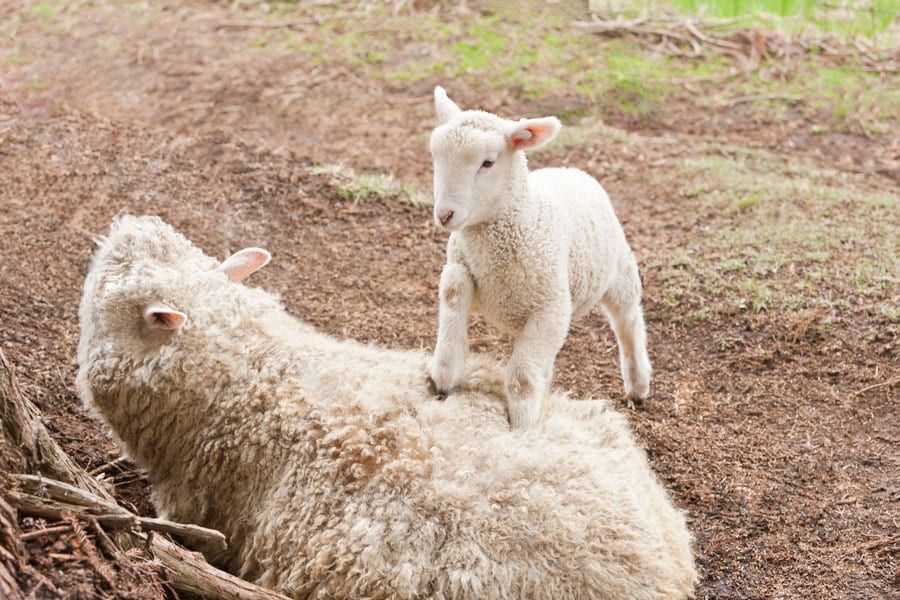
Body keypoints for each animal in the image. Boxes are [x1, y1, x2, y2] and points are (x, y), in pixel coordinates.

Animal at [426, 86, 652, 428]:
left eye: (487, 163)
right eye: (436, 156)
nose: (444, 215)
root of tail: (572, 170)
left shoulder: (552, 308)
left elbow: (521, 377)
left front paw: (523, 426)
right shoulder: (460, 266)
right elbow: (453, 293)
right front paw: (444, 375)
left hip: (620, 275)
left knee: (629, 322)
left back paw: (638, 384)